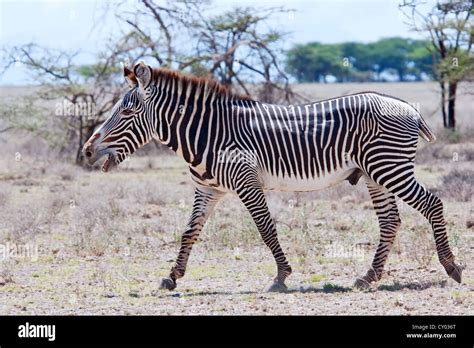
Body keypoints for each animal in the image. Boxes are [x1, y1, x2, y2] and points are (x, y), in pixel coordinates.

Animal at [82, 61, 462, 290]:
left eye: (126, 113)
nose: (86, 151)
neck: (207, 134)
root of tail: (408, 107)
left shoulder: (245, 181)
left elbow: (265, 228)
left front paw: (281, 276)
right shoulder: (207, 189)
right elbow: (189, 232)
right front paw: (172, 276)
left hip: (389, 166)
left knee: (432, 204)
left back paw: (451, 267)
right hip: (374, 173)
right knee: (390, 221)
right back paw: (369, 277)